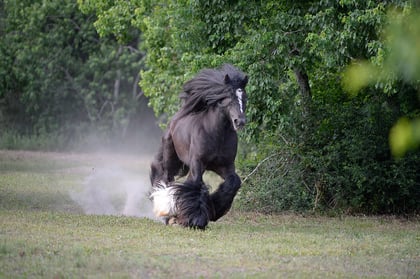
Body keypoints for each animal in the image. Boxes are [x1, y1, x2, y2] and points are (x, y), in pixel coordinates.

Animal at [149, 64, 248, 231]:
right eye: (229, 96)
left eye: (245, 97)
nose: (239, 121)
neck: (216, 134)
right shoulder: (198, 163)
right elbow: (195, 184)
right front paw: (195, 220)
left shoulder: (225, 166)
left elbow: (233, 182)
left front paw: (216, 209)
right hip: (171, 159)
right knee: (166, 180)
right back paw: (169, 215)